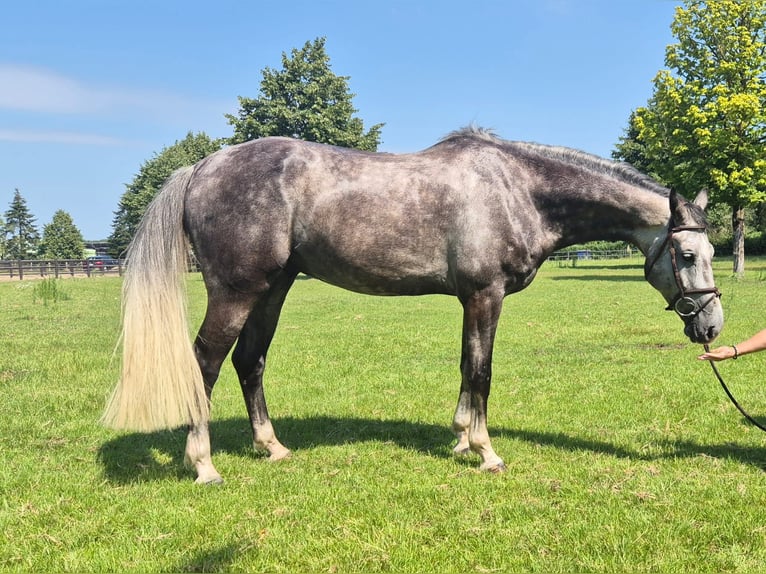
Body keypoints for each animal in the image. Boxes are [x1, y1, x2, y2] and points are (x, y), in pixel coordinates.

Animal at [102, 126, 724, 484]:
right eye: (689, 254)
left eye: (715, 251)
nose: (713, 326)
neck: (517, 188)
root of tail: (202, 167)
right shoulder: (485, 295)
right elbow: (482, 370)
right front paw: (486, 452)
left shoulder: (471, 300)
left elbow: (466, 367)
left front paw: (460, 437)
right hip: (236, 290)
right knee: (205, 363)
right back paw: (203, 464)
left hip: (273, 289)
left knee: (248, 362)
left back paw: (271, 447)